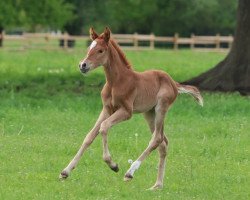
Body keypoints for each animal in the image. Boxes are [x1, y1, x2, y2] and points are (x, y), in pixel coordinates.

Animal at [59, 27, 203, 190]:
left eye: (101, 50)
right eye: (89, 48)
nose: (83, 65)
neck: (116, 82)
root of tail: (174, 83)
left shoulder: (126, 112)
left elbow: (104, 127)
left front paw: (113, 165)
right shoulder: (106, 109)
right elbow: (89, 136)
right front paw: (65, 171)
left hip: (161, 107)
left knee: (157, 139)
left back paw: (130, 172)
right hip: (149, 113)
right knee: (163, 142)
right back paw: (157, 185)